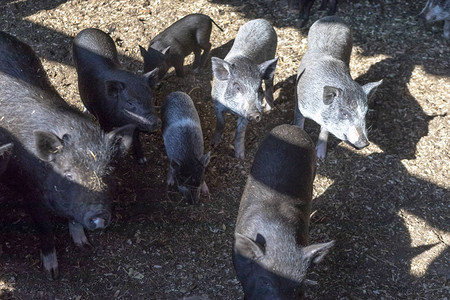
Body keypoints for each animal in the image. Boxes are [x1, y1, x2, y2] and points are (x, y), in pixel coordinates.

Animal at [0, 31, 135, 280]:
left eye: (107, 174)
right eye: (69, 175)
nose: (98, 217)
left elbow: (73, 218)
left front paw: (84, 245)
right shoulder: (31, 192)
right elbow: (45, 229)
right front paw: (52, 273)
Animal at [210, 18, 278, 159]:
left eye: (259, 90)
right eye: (237, 87)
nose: (256, 114)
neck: (232, 110)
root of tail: (263, 21)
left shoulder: (244, 116)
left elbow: (240, 132)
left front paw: (240, 157)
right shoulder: (216, 104)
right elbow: (220, 123)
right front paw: (213, 144)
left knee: (269, 84)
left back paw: (269, 108)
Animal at [296, 16, 384, 159]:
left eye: (365, 113)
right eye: (344, 113)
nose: (365, 143)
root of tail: (334, 18)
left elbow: (325, 131)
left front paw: (321, 157)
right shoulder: (300, 105)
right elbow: (299, 122)